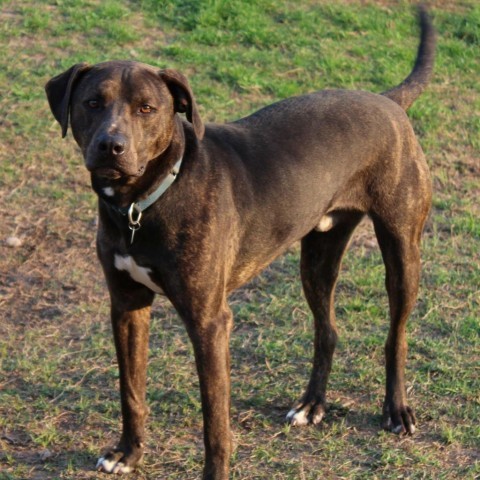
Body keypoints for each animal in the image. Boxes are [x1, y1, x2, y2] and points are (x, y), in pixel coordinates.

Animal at [45, 7, 436, 480]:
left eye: (147, 108)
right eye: (92, 103)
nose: (111, 146)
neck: (145, 202)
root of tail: (387, 101)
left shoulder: (210, 322)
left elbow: (215, 421)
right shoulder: (126, 305)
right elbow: (131, 391)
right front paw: (128, 453)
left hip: (402, 250)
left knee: (396, 334)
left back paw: (396, 410)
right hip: (318, 257)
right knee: (327, 329)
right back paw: (311, 405)